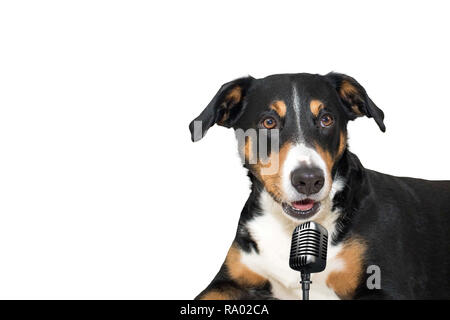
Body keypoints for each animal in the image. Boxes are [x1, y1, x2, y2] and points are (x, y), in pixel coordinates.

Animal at [187, 72, 450, 300]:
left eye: (326, 119)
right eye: (269, 122)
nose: (309, 180)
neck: (289, 228)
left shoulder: (387, 287)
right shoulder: (228, 280)